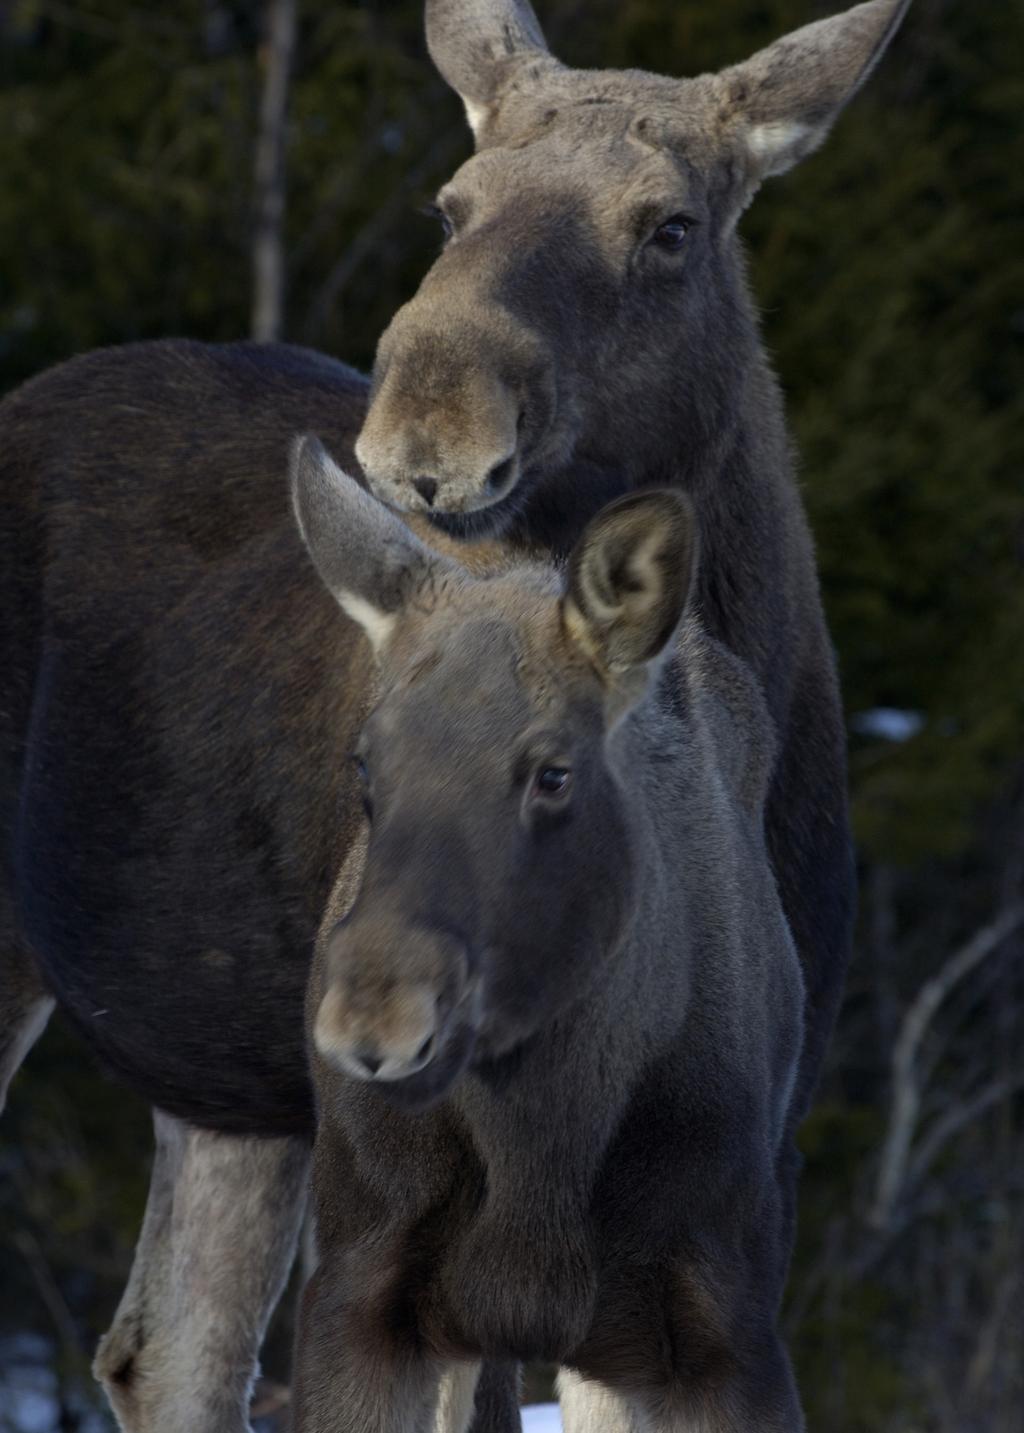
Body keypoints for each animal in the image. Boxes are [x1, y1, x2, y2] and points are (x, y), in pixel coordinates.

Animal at [287, 441, 807, 1427]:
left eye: (554, 772)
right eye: (367, 762)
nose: (374, 1016)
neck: (541, 1157)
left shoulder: (727, 1329)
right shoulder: (358, 1293)